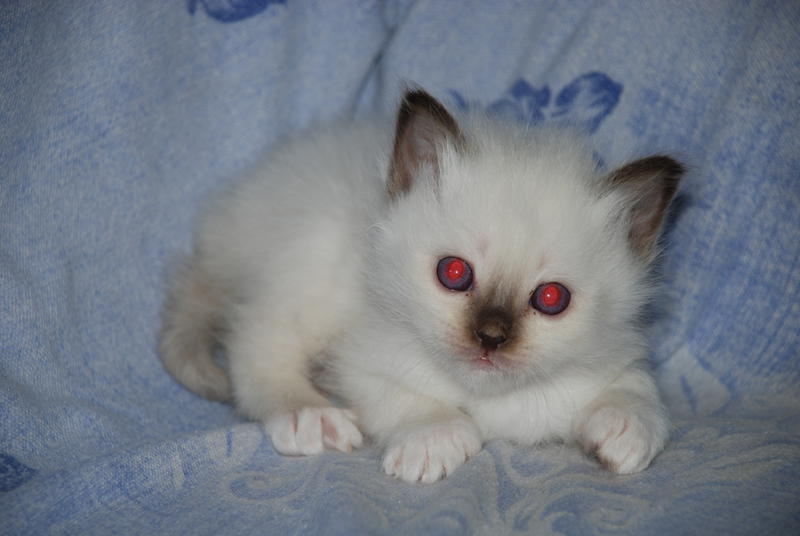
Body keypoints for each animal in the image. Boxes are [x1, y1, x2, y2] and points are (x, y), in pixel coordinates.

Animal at [159, 88, 683, 483]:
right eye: (454, 273)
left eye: (551, 298)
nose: (490, 338)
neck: (485, 399)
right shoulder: (361, 363)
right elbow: (407, 398)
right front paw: (434, 440)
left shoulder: (612, 361)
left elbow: (636, 388)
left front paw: (626, 429)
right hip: (309, 261)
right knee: (254, 343)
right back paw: (310, 416)